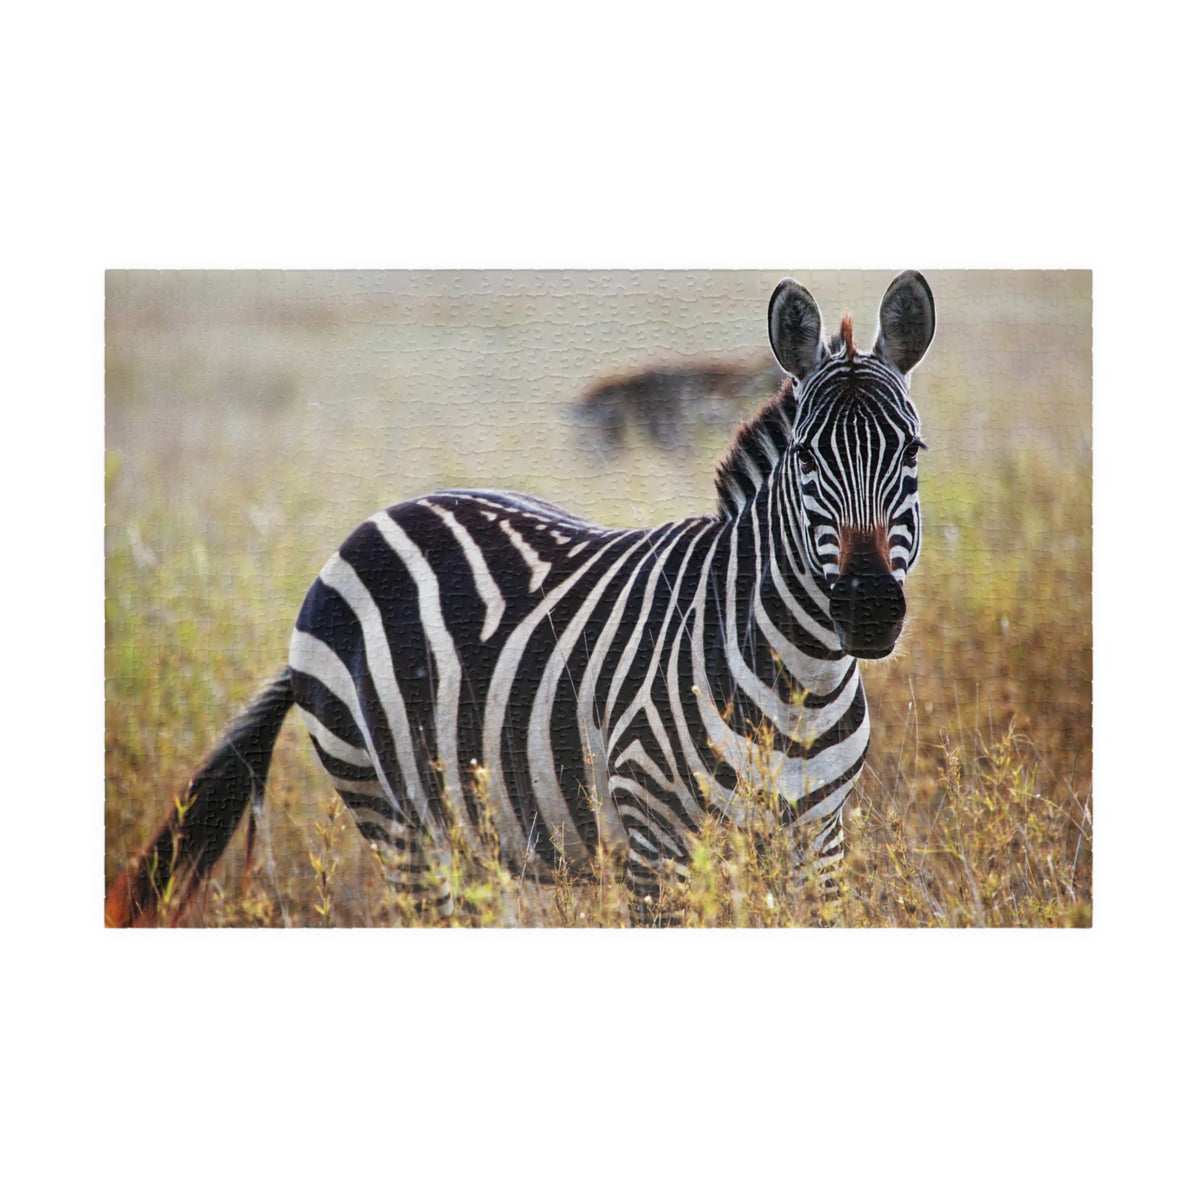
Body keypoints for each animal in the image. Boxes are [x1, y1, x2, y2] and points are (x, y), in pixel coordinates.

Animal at [105, 271, 935, 927]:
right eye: (806, 458)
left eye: (913, 452)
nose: (866, 608)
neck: (800, 680)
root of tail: (375, 521)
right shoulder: (656, 844)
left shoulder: (819, 845)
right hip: (394, 817)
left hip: (466, 826)